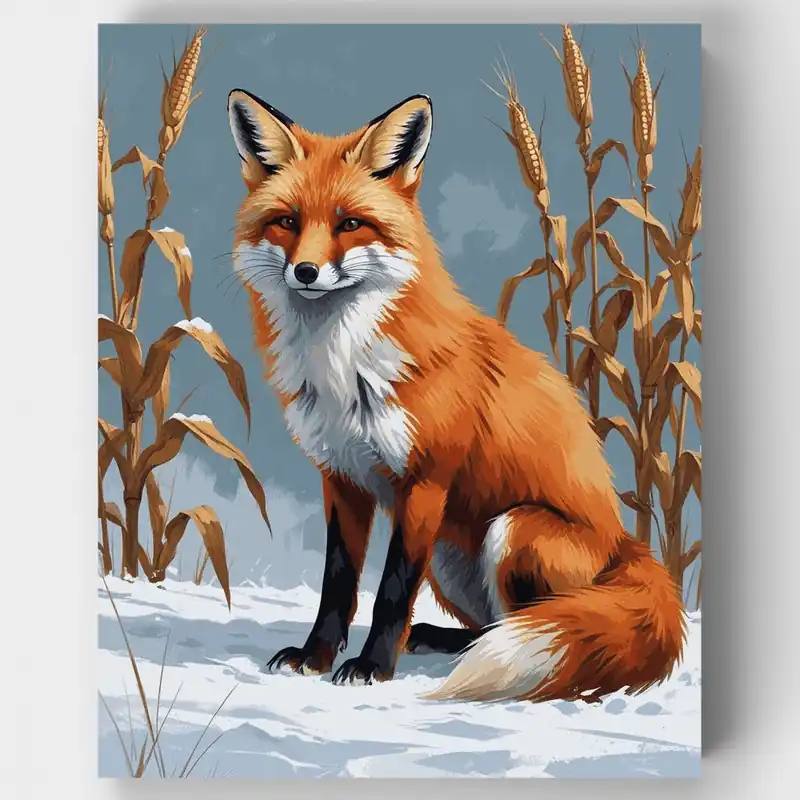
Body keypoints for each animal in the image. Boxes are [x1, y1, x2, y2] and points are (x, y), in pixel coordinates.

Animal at [226, 87, 686, 704]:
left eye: (351, 224)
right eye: (287, 222)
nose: (305, 271)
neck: (342, 368)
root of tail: (627, 545)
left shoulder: (425, 481)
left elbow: (391, 589)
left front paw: (372, 668)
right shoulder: (342, 477)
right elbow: (337, 583)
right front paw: (315, 656)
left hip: (513, 529)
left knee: (538, 622)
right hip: (449, 557)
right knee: (492, 625)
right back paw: (446, 641)